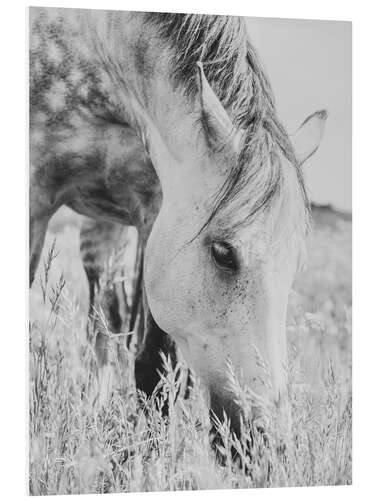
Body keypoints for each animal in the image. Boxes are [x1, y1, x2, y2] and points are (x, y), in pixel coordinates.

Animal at [28, 7, 326, 438]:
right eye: (223, 253)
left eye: (295, 266)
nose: (267, 439)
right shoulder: (34, 197)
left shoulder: (156, 210)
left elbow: (153, 366)